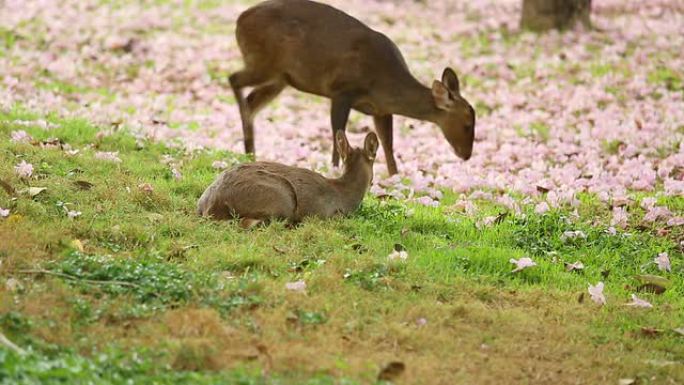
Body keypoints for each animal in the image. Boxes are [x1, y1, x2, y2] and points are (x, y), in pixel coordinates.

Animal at [230, 0, 476, 174]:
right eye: (467, 124)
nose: (466, 155)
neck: (384, 84)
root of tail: (239, 19)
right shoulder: (342, 90)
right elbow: (338, 132)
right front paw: (335, 169)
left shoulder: (381, 110)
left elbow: (388, 145)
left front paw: (393, 178)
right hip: (263, 62)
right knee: (234, 79)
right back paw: (246, 138)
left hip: (280, 78)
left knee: (251, 99)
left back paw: (251, 153)